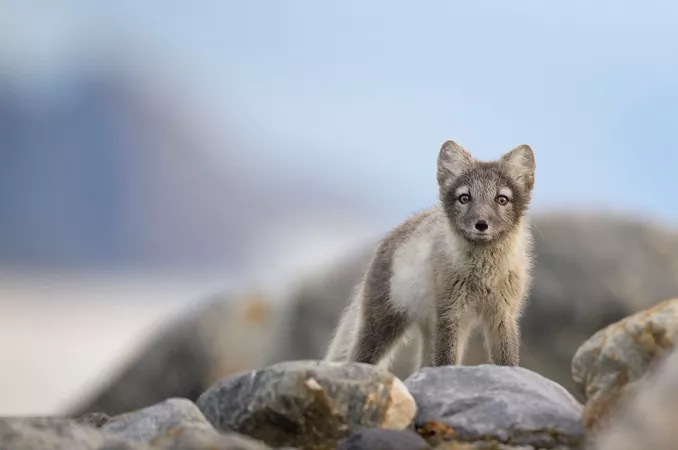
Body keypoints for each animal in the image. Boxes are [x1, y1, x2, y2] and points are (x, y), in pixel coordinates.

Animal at [324, 140, 536, 371]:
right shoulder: (449, 313)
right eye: (464, 198)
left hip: (428, 329)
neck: (483, 274)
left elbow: (508, 360)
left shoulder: (503, 314)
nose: (481, 224)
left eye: (502, 199)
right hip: (381, 324)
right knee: (359, 357)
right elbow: (446, 360)